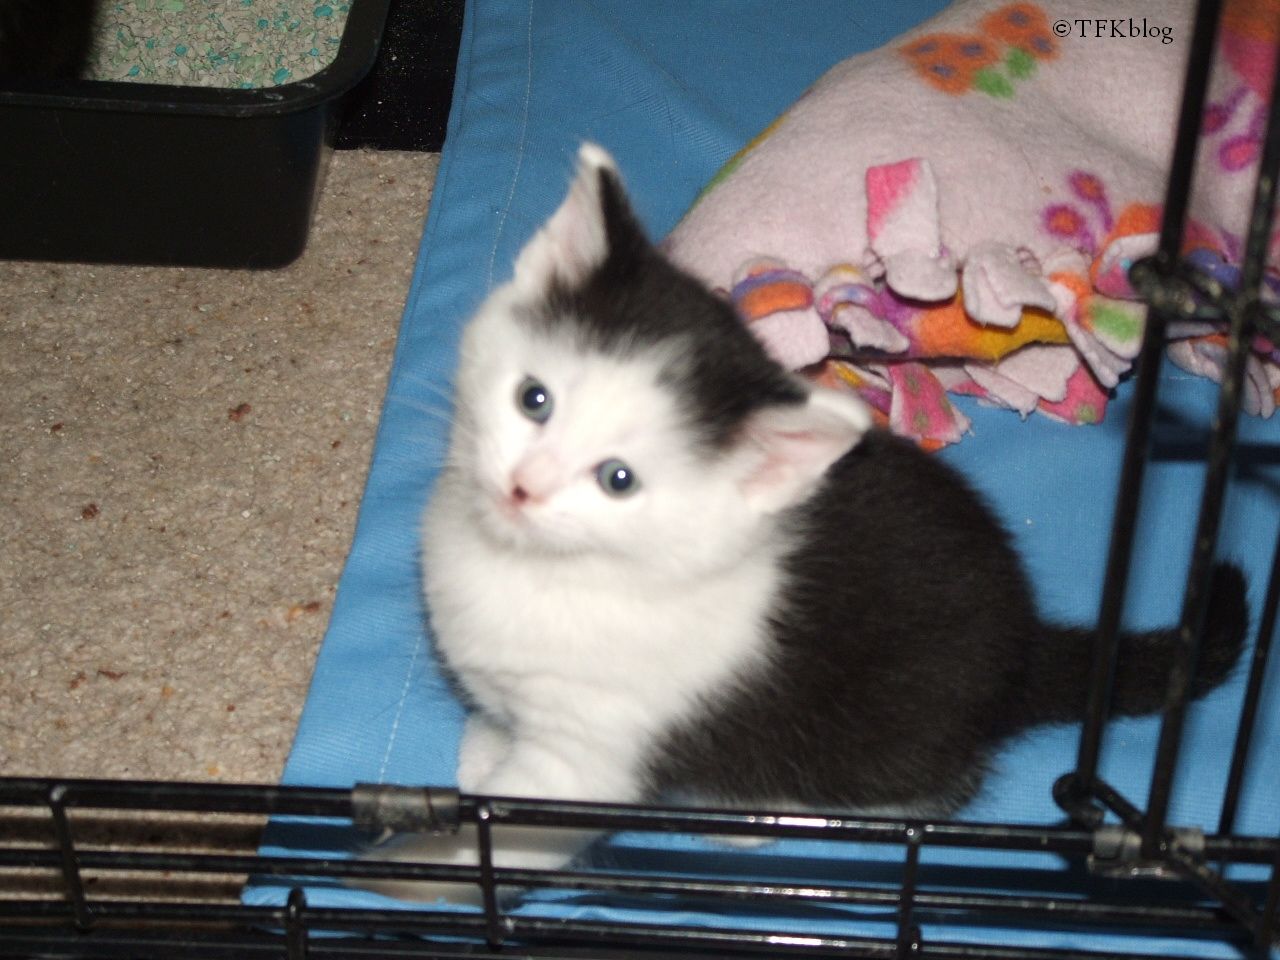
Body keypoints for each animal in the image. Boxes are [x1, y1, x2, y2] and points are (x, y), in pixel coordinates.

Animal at [358, 143, 1248, 901]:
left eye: (619, 480)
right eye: (532, 399)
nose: (523, 489)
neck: (544, 569)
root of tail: (1024, 646)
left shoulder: (597, 752)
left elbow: (519, 826)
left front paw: (417, 871)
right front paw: (483, 747)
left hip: (893, 733)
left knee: (924, 792)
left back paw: (750, 816)